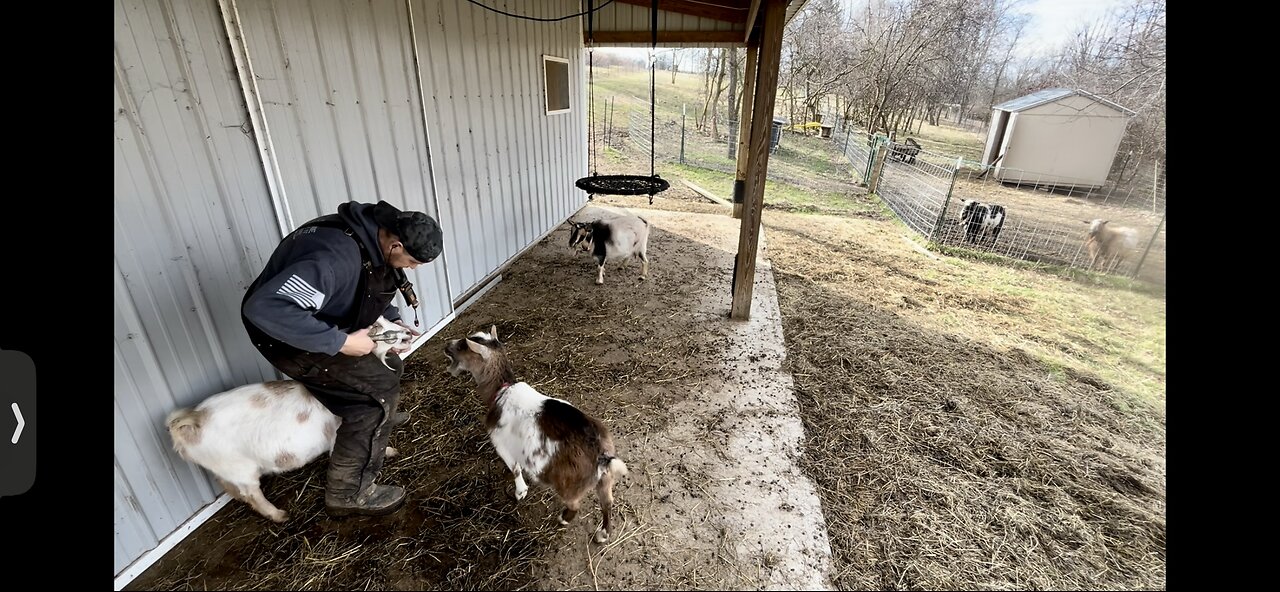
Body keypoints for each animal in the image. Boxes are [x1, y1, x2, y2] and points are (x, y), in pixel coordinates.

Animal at [442, 325, 632, 543]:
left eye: (463, 346)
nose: (446, 345)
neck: (501, 390)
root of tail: (601, 453)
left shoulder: (501, 444)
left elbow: (515, 469)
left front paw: (520, 492)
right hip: (605, 479)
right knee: (607, 501)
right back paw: (604, 534)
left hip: (568, 485)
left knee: (575, 504)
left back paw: (563, 519)